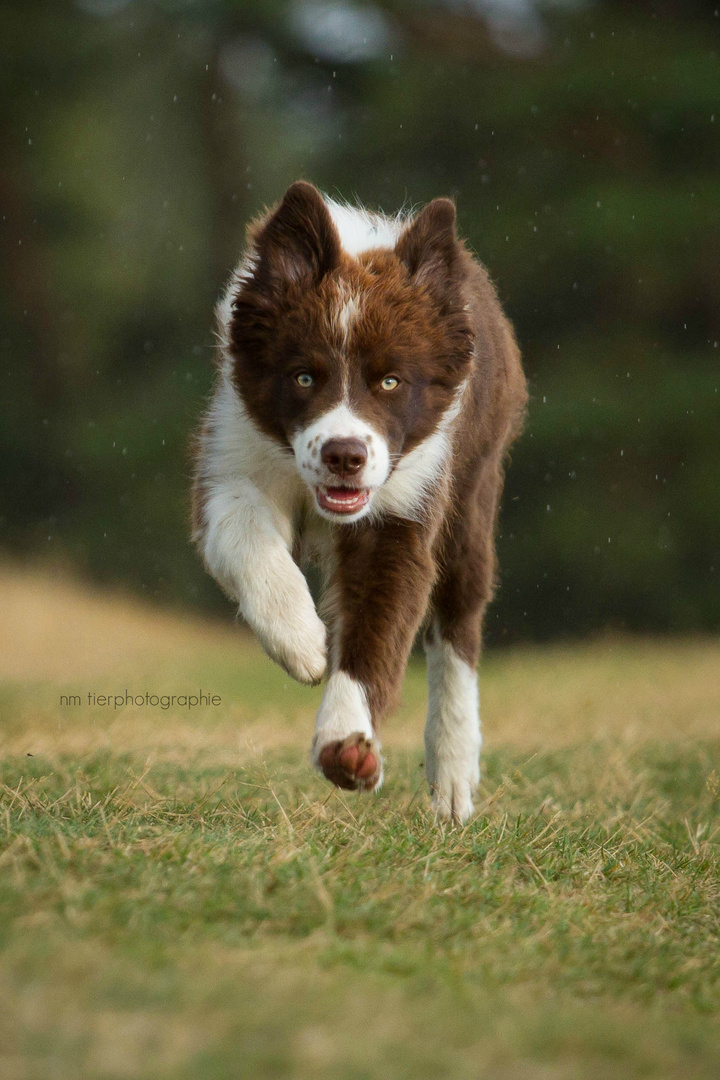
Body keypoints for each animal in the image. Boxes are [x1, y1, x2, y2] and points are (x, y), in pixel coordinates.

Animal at [191, 181, 526, 820]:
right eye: (303, 377)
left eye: (390, 381)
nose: (344, 455)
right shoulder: (232, 456)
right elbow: (243, 532)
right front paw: (301, 643)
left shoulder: (405, 506)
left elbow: (381, 620)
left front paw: (347, 743)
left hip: (473, 494)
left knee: (458, 628)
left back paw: (452, 778)